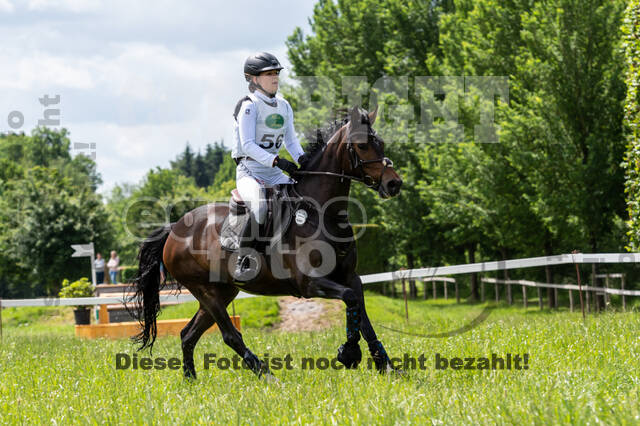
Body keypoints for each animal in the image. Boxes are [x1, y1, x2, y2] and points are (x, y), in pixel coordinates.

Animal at [129, 105, 403, 379]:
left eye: (381, 143)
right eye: (363, 146)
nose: (394, 183)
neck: (320, 213)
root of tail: (174, 229)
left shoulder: (350, 277)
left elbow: (361, 313)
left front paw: (384, 364)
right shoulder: (310, 283)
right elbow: (350, 300)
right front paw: (349, 353)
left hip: (222, 291)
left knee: (188, 335)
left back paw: (191, 380)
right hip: (205, 291)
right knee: (229, 335)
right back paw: (266, 374)